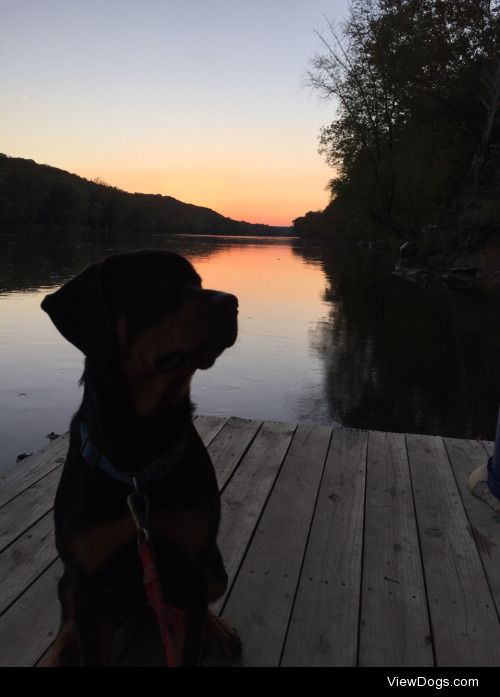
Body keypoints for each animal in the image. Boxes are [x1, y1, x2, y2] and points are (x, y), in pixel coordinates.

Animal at [41, 249, 242, 664]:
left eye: (197, 282)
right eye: (154, 283)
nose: (231, 302)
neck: (140, 445)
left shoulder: (192, 567)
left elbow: (190, 641)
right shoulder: (87, 581)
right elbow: (84, 638)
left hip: (215, 568)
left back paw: (218, 629)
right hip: (67, 581)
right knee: (67, 622)